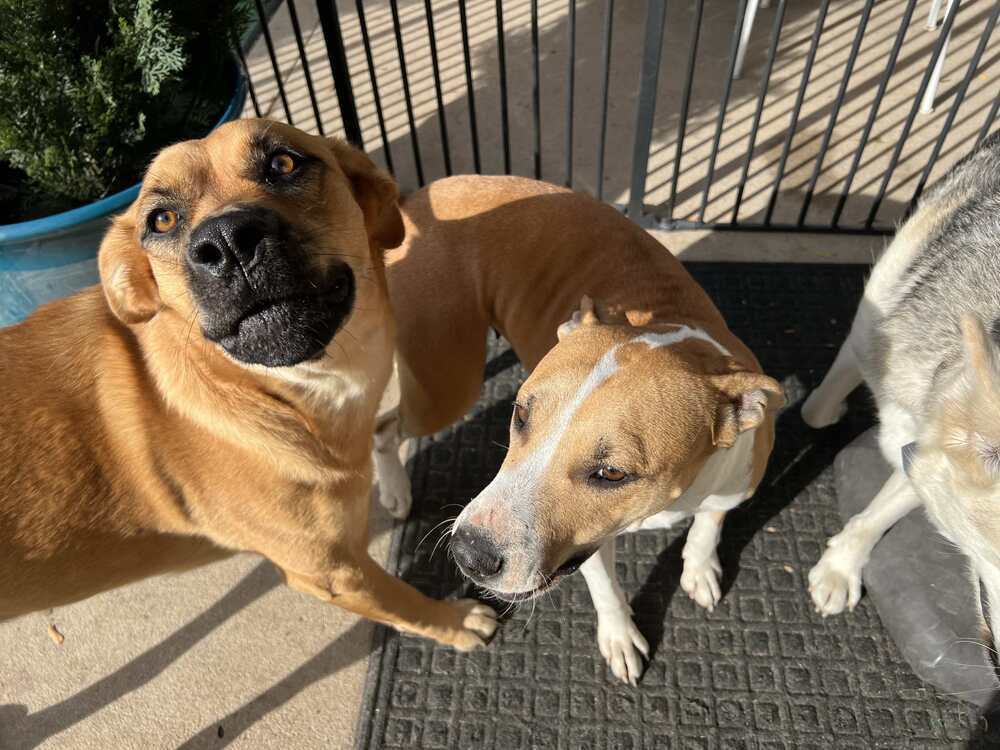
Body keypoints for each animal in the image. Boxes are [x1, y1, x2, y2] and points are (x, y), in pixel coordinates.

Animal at [0, 119, 498, 652]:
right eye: (161, 220)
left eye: (283, 162)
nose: (227, 242)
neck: (289, 392)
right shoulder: (334, 573)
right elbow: (401, 601)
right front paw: (452, 622)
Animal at [374, 178, 780, 688]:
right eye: (520, 414)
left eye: (612, 474)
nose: (469, 554)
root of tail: (427, 193)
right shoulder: (588, 544)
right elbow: (606, 587)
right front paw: (620, 636)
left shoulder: (734, 482)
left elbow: (710, 522)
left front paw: (700, 566)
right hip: (447, 386)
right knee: (383, 426)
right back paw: (394, 488)